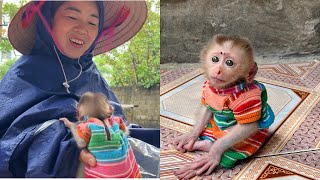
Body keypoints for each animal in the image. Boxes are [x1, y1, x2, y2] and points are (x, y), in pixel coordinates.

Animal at [174, 34, 274, 179]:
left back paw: (212, 149)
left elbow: (248, 125)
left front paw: (214, 154)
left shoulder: (248, 97)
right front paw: (192, 136)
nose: (218, 70)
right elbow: (206, 109)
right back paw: (203, 143)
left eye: (229, 63)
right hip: (211, 127)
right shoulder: (207, 87)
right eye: (215, 59)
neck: (224, 90)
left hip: (253, 141)